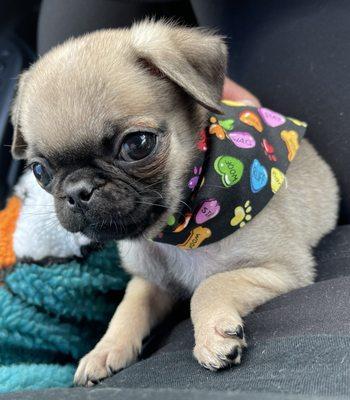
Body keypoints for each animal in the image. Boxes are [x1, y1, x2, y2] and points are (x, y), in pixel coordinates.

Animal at [11, 20, 340, 386]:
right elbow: (127, 309)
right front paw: (104, 351)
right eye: (40, 171)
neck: (177, 230)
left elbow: (209, 285)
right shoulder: (150, 282)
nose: (77, 190)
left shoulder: (284, 269)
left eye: (138, 144)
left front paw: (213, 338)